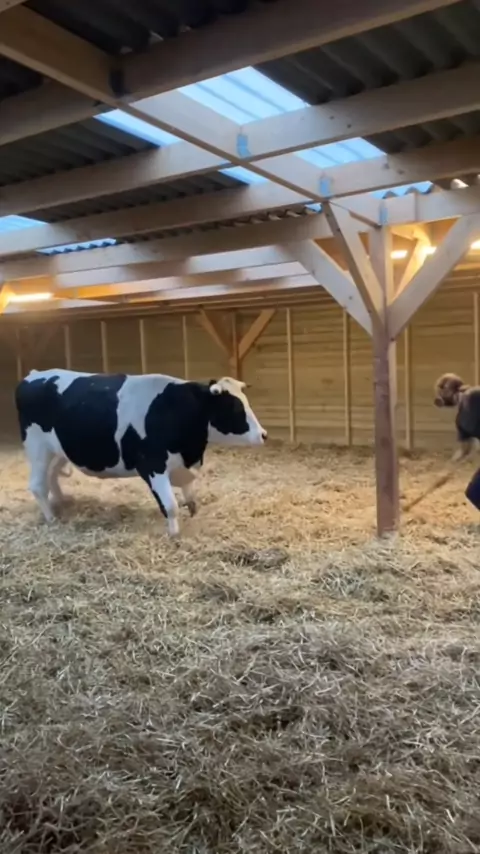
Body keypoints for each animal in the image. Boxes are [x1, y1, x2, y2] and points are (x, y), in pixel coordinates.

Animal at [15, 369, 267, 536]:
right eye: (234, 407)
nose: (263, 434)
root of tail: (33, 375)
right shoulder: (152, 465)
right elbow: (171, 505)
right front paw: (174, 535)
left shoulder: (182, 464)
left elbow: (189, 495)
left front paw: (192, 511)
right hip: (37, 448)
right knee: (37, 485)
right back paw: (51, 518)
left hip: (59, 451)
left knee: (51, 477)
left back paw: (61, 501)